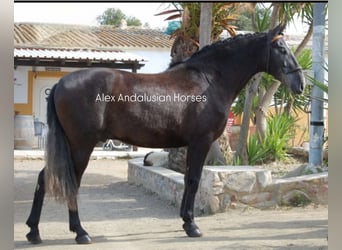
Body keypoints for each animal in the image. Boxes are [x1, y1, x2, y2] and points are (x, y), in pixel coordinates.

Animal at [26, 24, 304, 244]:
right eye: (281, 49)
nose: (300, 84)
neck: (209, 81)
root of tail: (61, 83)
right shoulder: (201, 142)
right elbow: (193, 180)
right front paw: (192, 226)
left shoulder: (193, 144)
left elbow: (189, 180)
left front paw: (185, 221)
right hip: (81, 146)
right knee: (69, 182)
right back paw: (80, 232)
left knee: (44, 178)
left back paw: (34, 231)